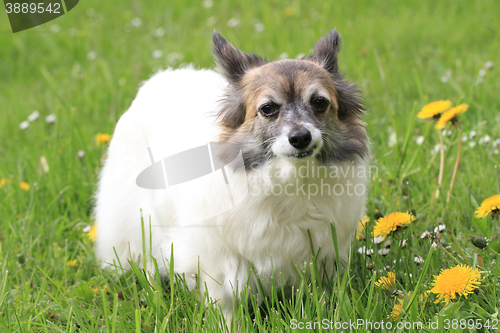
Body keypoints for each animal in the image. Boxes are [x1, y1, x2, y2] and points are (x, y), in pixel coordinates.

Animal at [94, 28, 368, 324]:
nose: (300, 137)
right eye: (268, 109)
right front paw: (229, 324)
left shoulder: (322, 254)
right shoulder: (218, 261)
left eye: (319, 103)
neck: (289, 179)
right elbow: (224, 301)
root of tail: (161, 77)